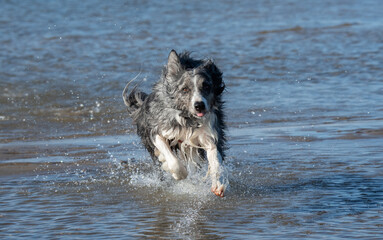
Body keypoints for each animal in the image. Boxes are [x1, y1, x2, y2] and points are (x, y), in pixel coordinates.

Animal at [123, 49, 226, 197]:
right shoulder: (156, 129)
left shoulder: (210, 133)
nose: (199, 105)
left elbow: (216, 159)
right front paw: (179, 173)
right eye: (185, 89)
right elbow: (171, 159)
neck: (188, 118)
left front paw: (218, 184)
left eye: (206, 86)